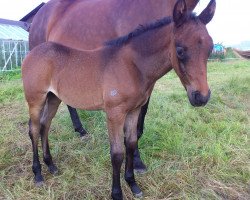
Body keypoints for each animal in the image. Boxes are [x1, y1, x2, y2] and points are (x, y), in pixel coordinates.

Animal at [22, 0, 216, 199]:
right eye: (180, 50)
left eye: (210, 48)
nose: (201, 96)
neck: (131, 65)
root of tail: (32, 53)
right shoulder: (114, 112)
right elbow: (117, 153)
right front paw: (117, 193)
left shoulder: (134, 110)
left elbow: (130, 143)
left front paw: (133, 184)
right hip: (35, 99)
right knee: (34, 129)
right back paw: (38, 173)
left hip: (53, 98)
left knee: (45, 125)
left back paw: (51, 165)